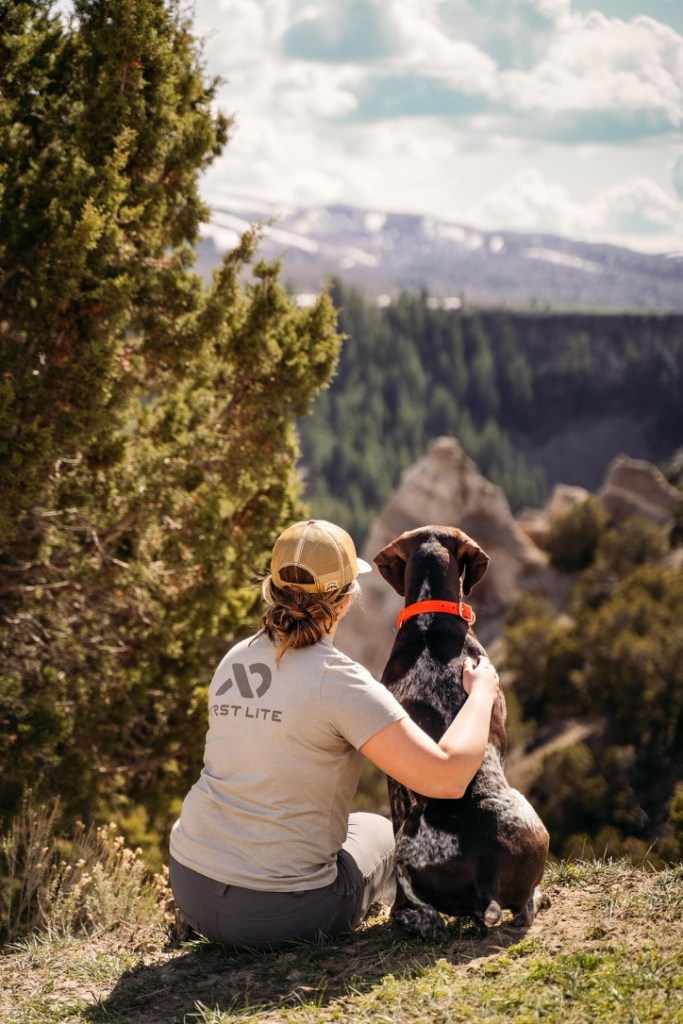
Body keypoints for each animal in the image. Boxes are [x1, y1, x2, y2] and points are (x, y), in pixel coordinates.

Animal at [374, 525, 550, 941]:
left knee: (432, 919)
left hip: (406, 846)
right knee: (524, 906)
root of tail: (487, 868)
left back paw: (408, 918)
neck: (432, 619)